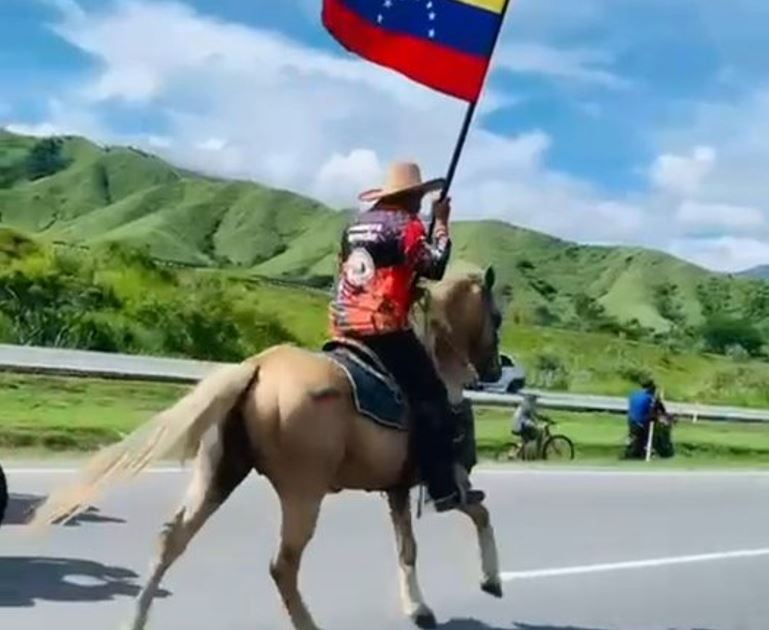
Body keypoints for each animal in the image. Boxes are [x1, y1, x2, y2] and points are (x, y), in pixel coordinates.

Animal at [31, 268, 504, 630]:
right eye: (497, 317)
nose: (496, 369)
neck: (439, 363)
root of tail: (256, 367)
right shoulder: (449, 479)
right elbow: (480, 512)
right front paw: (491, 580)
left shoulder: (398, 488)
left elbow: (407, 548)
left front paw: (418, 608)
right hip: (303, 494)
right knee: (283, 566)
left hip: (219, 474)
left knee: (171, 540)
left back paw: (136, 619)